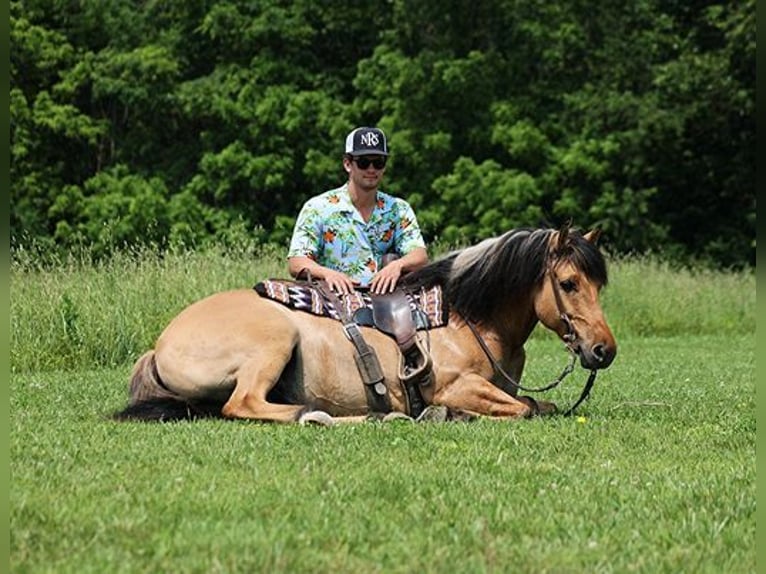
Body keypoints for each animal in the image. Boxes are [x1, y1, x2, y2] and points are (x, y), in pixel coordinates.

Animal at [114, 227, 616, 426]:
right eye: (569, 283)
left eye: (598, 283)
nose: (604, 350)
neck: (465, 315)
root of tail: (159, 346)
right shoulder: (456, 386)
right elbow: (525, 409)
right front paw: (448, 415)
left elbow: (537, 404)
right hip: (275, 340)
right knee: (243, 404)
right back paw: (329, 415)